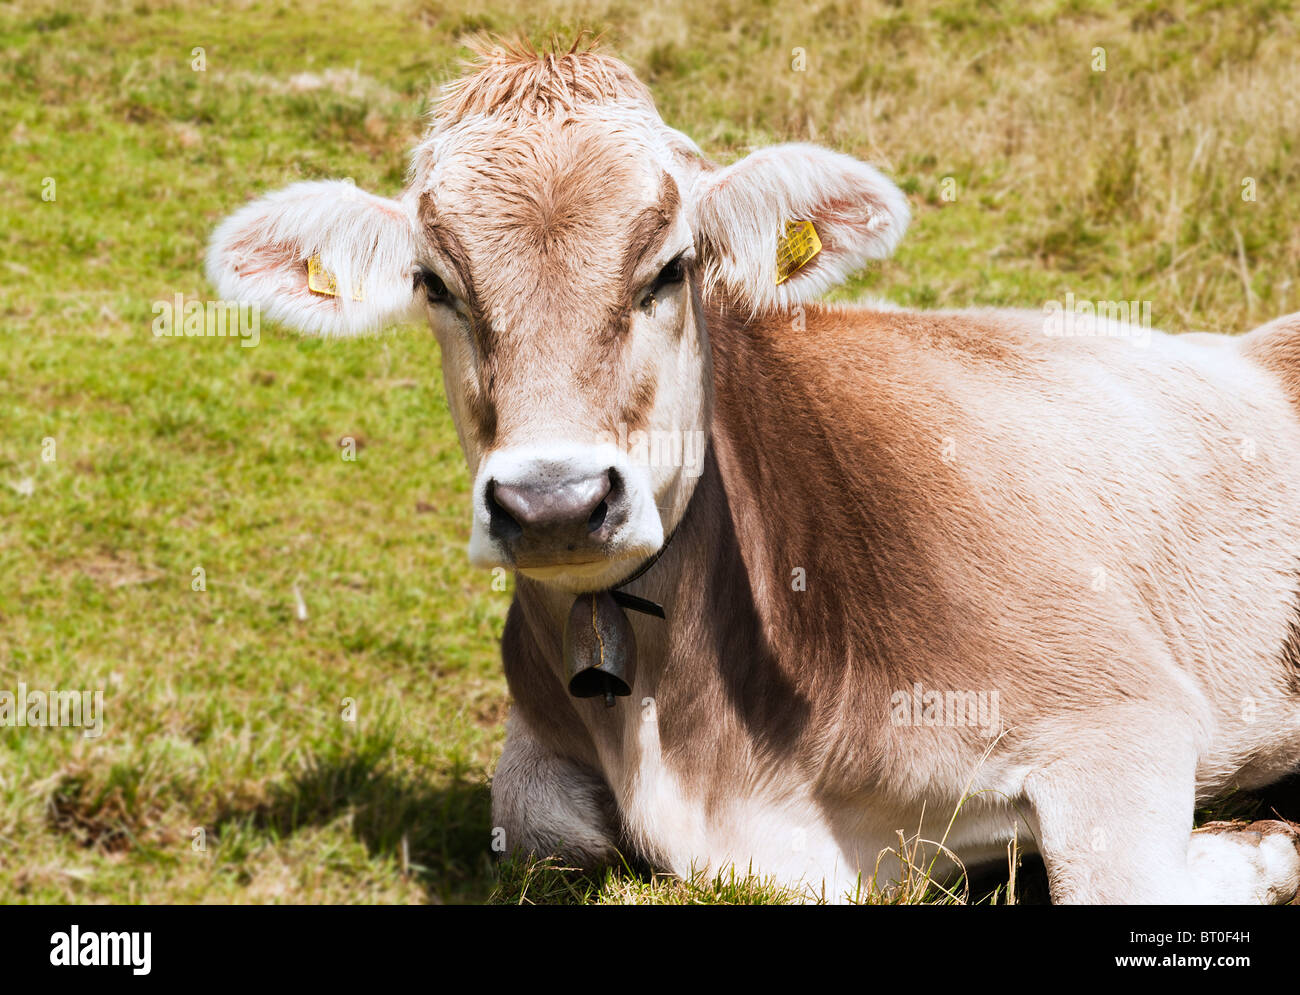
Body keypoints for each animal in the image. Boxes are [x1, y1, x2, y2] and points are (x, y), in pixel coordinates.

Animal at [205, 38, 1300, 900]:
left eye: (669, 267)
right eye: (435, 282)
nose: (554, 500)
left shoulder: (1117, 709)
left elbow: (1115, 878)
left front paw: (1253, 848)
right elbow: (542, 826)